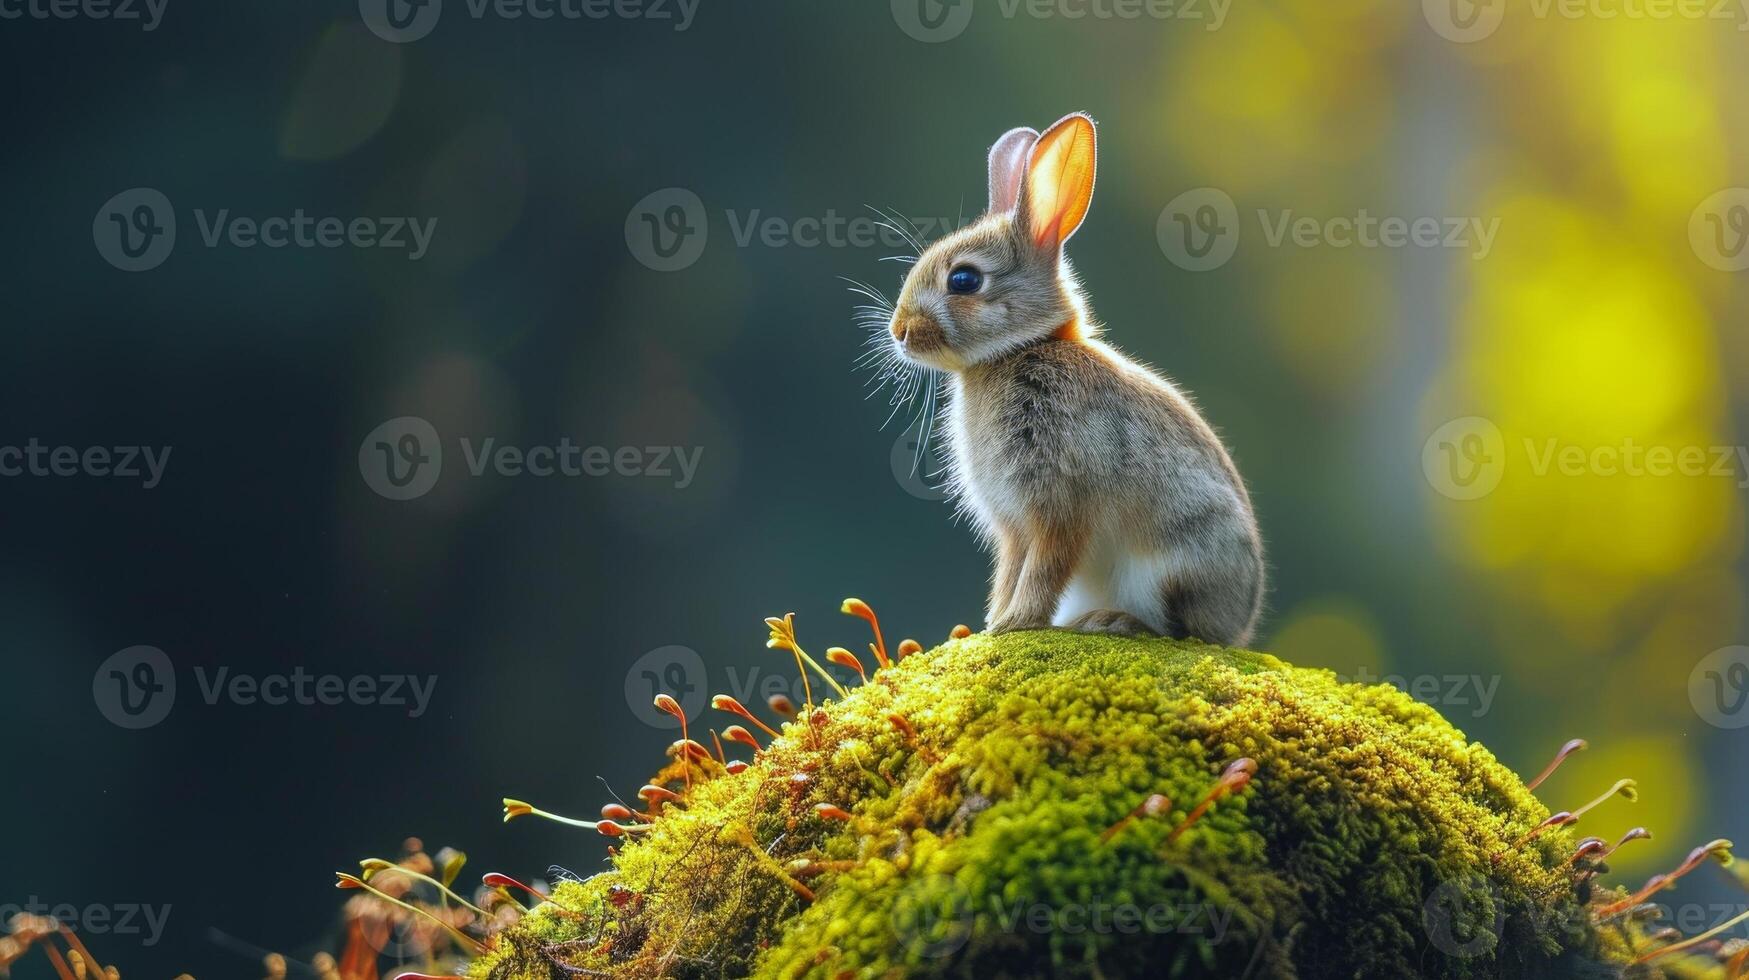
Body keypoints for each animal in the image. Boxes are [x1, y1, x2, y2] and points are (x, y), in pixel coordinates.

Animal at [881, 111, 1266, 647]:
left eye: (964, 280)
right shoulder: (1014, 526)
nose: (899, 332)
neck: (1021, 350)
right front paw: (993, 623)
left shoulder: (1060, 503)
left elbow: (1046, 565)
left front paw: (1016, 622)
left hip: (1170, 567)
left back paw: (1115, 622)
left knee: (1178, 629)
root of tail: (1239, 624)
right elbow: (1011, 569)